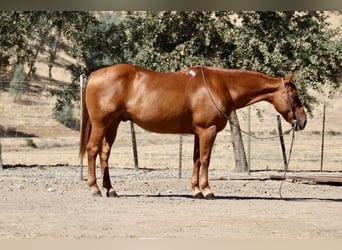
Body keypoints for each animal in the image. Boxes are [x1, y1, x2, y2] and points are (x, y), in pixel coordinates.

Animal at [80, 64, 308, 199]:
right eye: (294, 95)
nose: (303, 121)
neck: (222, 85)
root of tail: (95, 75)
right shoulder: (208, 131)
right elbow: (205, 160)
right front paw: (207, 190)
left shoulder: (199, 132)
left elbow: (197, 159)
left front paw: (196, 190)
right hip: (101, 123)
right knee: (92, 150)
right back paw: (95, 188)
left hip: (113, 124)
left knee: (104, 153)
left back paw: (110, 189)